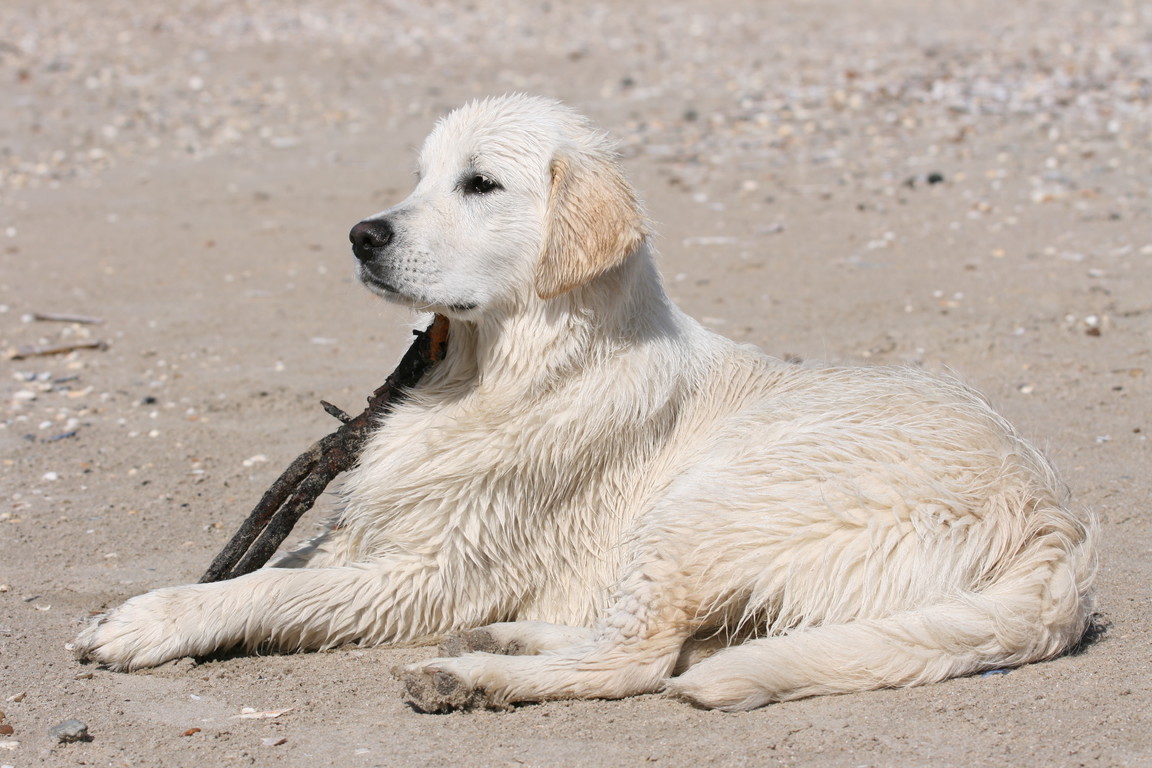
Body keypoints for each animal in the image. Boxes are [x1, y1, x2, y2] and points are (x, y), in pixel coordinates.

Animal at [74, 96, 1096, 713]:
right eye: (419, 177)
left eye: (480, 183)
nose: (362, 235)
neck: (507, 368)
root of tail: (1058, 525)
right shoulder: (376, 529)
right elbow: (282, 567)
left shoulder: (430, 569)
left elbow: (265, 588)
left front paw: (148, 621)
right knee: (653, 639)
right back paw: (506, 641)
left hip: (712, 500)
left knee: (639, 658)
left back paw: (468, 674)